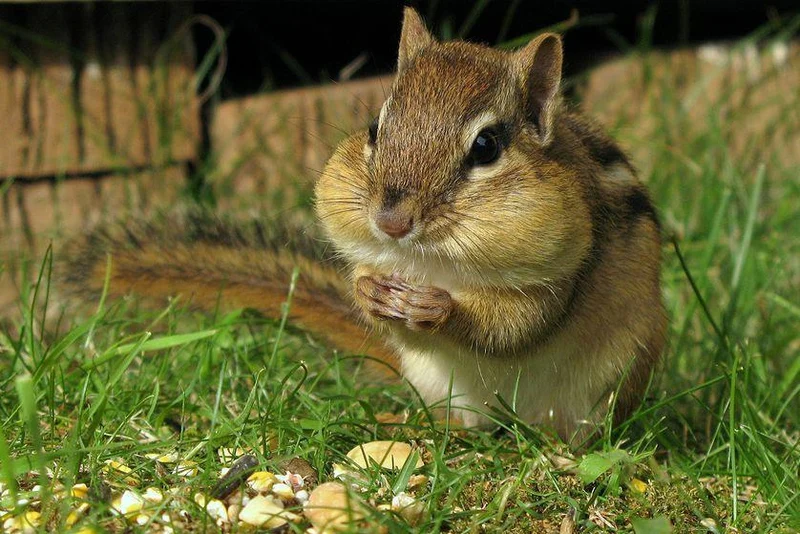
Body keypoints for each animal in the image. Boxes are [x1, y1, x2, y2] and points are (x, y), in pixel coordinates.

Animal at [61, 8, 666, 443]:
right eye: (375, 128)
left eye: (487, 146)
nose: (390, 221)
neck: (433, 262)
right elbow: (369, 291)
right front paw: (371, 292)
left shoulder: (554, 276)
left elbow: (516, 326)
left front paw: (440, 309)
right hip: (437, 383)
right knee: (467, 425)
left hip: (610, 383)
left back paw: (559, 451)